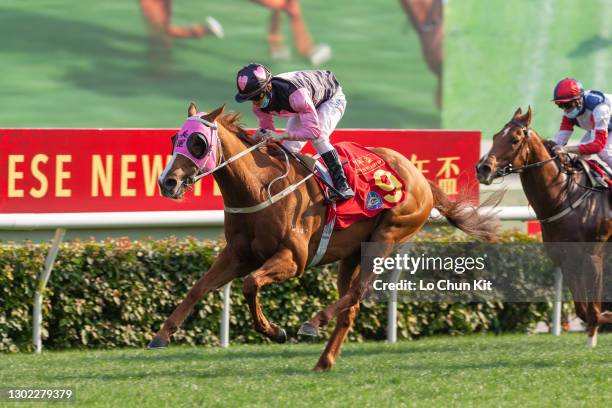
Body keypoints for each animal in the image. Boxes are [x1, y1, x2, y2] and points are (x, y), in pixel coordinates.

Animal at [151, 102, 500, 370]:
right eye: (174, 139)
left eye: (197, 142)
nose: (167, 182)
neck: (260, 188)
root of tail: (421, 178)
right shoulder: (237, 255)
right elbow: (199, 288)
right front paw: (161, 335)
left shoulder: (294, 259)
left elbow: (250, 284)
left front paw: (274, 331)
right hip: (352, 254)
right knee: (351, 305)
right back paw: (324, 360)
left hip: (387, 236)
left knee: (357, 292)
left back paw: (314, 322)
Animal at [476, 106, 612, 348]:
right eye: (495, 136)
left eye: (514, 139)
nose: (483, 168)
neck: (565, 196)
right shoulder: (567, 259)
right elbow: (583, 310)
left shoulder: (594, 256)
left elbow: (594, 310)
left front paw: (593, 337)